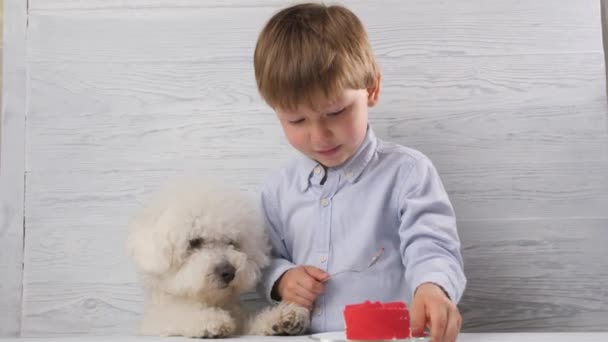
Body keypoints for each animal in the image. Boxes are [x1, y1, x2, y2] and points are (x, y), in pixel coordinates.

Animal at [127, 179, 308, 336]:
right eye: (194, 242)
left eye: (231, 242)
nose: (228, 272)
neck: (212, 302)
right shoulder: (159, 320)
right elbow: (178, 315)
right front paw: (211, 320)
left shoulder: (241, 323)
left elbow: (251, 323)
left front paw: (282, 318)